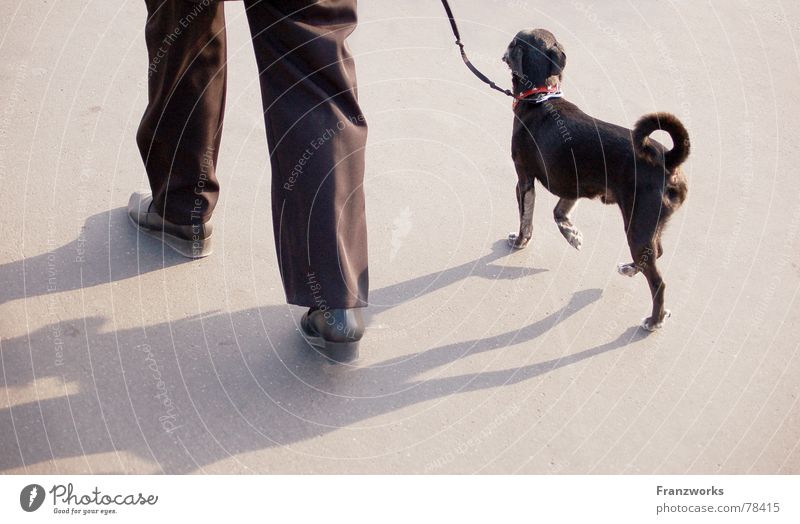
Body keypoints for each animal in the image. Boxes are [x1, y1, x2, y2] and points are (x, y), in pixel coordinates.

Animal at [506, 28, 688, 330]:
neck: (542, 96)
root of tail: (668, 159)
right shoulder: (573, 184)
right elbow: (559, 213)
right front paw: (572, 235)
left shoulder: (524, 178)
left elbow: (526, 218)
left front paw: (520, 241)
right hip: (651, 226)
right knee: (655, 254)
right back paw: (630, 269)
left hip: (637, 225)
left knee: (658, 282)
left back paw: (654, 320)